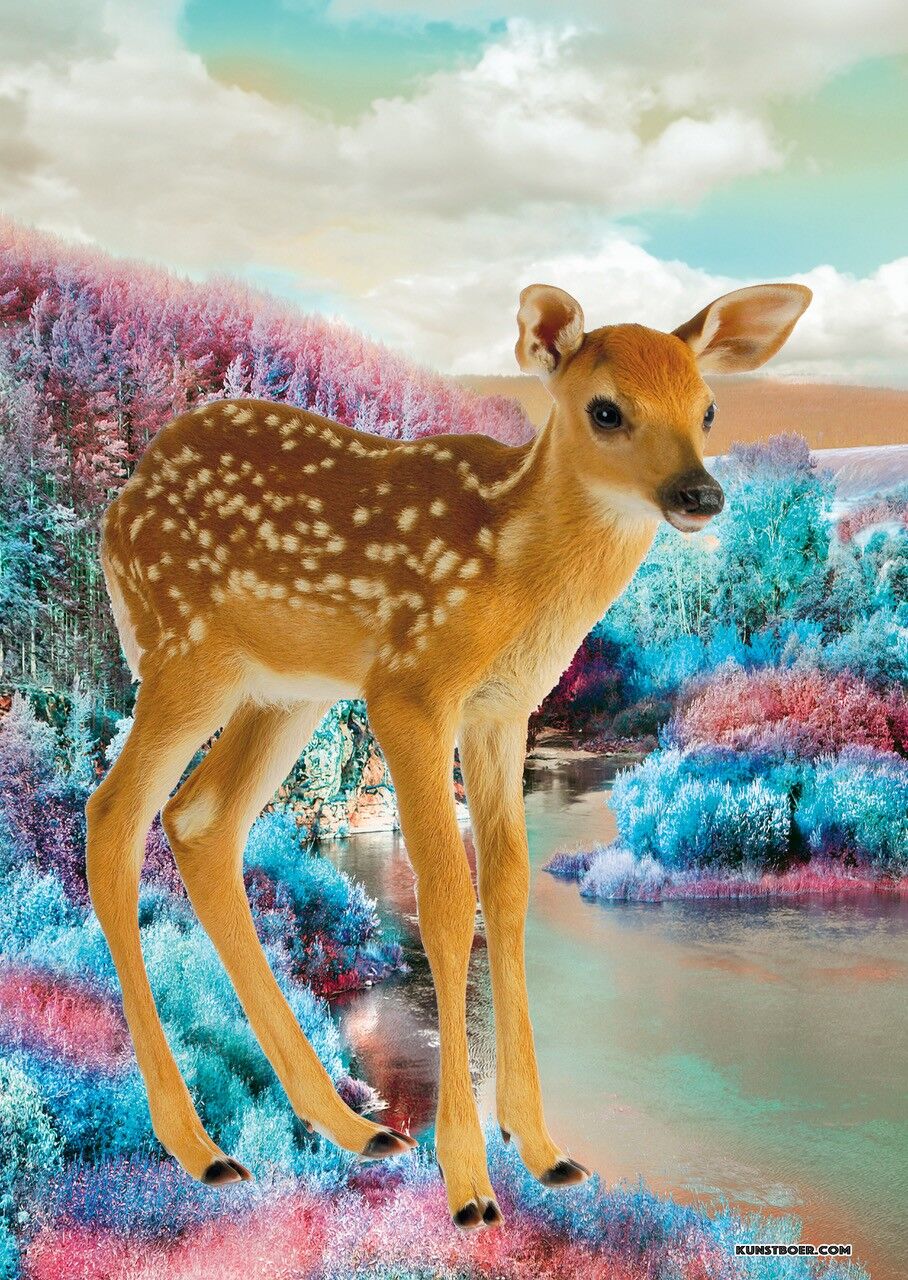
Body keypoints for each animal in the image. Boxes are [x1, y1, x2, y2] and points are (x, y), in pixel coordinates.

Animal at [87, 280, 811, 1229]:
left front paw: (543, 1150)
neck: (513, 568)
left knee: (202, 819)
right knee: (113, 814)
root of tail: (117, 511)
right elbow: (442, 896)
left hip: (285, 691)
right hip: (186, 656)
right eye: (606, 409)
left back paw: (355, 1129)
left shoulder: (503, 709)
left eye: (709, 407)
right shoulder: (411, 690)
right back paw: (203, 1149)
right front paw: (469, 1186)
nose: (699, 494)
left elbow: (506, 887)